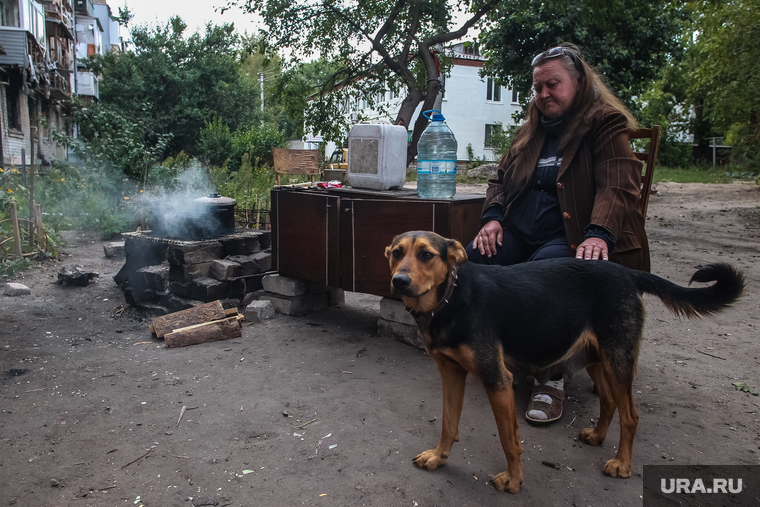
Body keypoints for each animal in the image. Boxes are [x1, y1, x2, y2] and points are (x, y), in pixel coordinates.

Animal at [382, 232, 744, 494]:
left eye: (427, 255)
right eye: (396, 253)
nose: (399, 281)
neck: (452, 300)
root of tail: (627, 272)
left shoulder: (497, 380)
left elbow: (509, 441)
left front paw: (514, 481)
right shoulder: (451, 373)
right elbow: (448, 423)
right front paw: (438, 457)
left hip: (618, 359)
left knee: (630, 415)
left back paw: (622, 465)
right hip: (597, 359)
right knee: (609, 402)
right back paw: (597, 436)